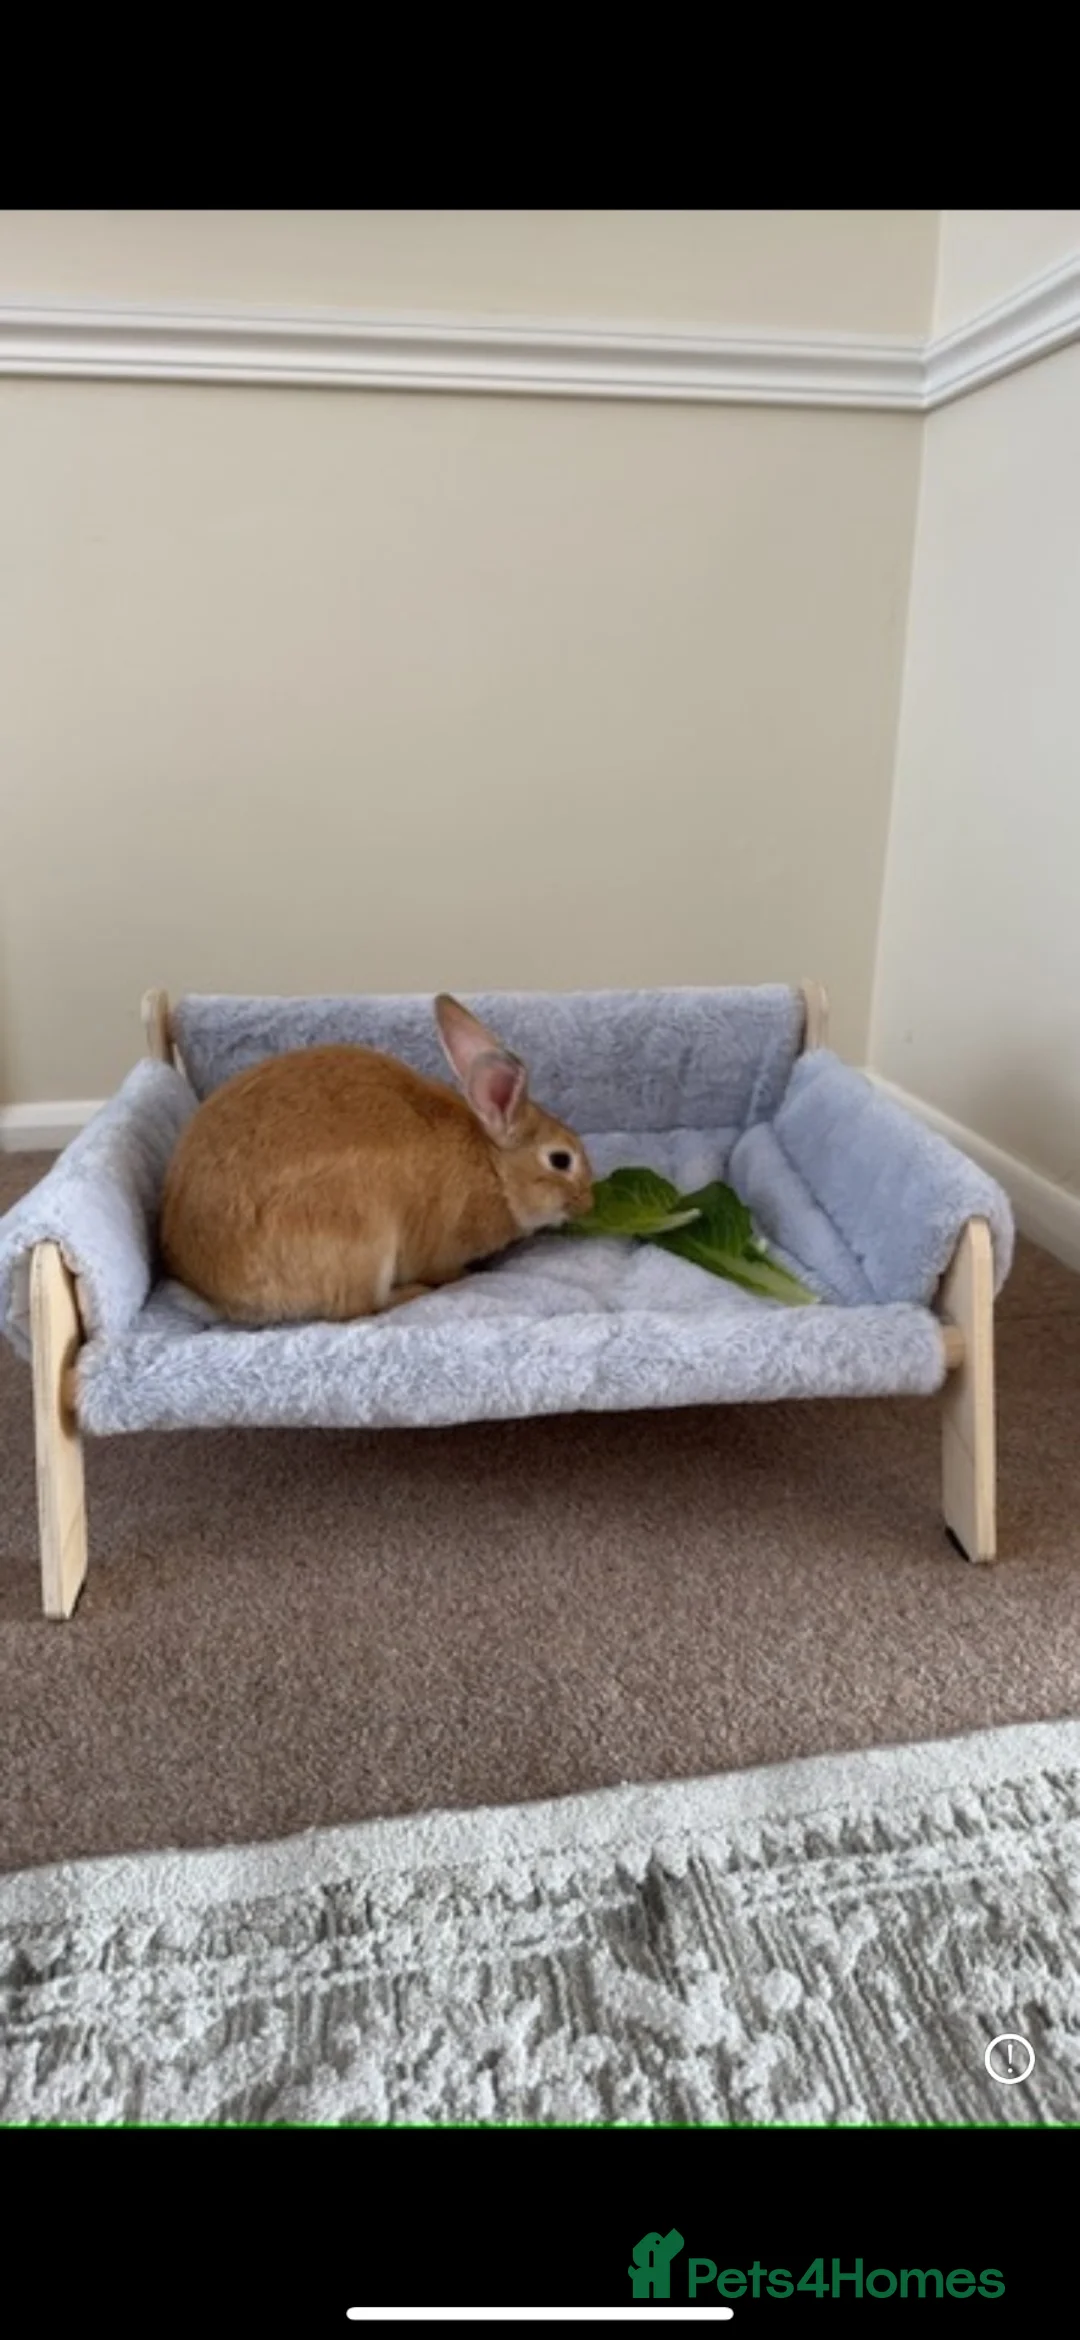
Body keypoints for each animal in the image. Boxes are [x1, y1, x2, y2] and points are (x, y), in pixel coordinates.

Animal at [158, 993, 595, 1325]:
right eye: (560, 1160)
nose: (588, 1203)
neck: (494, 1168)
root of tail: (212, 1288)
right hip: (363, 1236)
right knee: (360, 1308)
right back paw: (415, 1293)